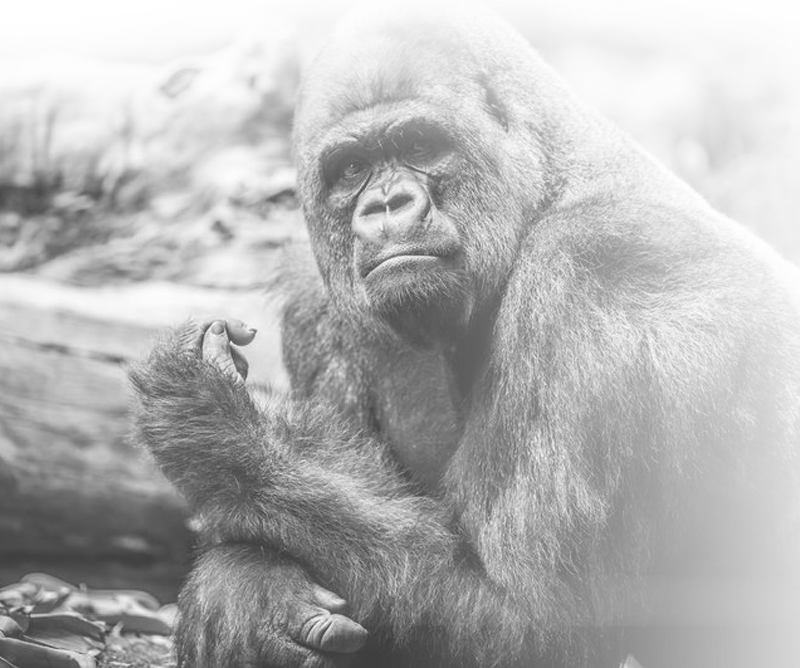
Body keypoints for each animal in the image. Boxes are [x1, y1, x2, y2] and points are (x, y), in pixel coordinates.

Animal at [129, 0, 800, 666]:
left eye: (418, 144)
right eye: (352, 168)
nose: (387, 205)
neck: (545, 181)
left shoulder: (600, 265)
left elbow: (540, 620)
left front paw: (221, 433)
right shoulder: (314, 292)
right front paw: (249, 589)